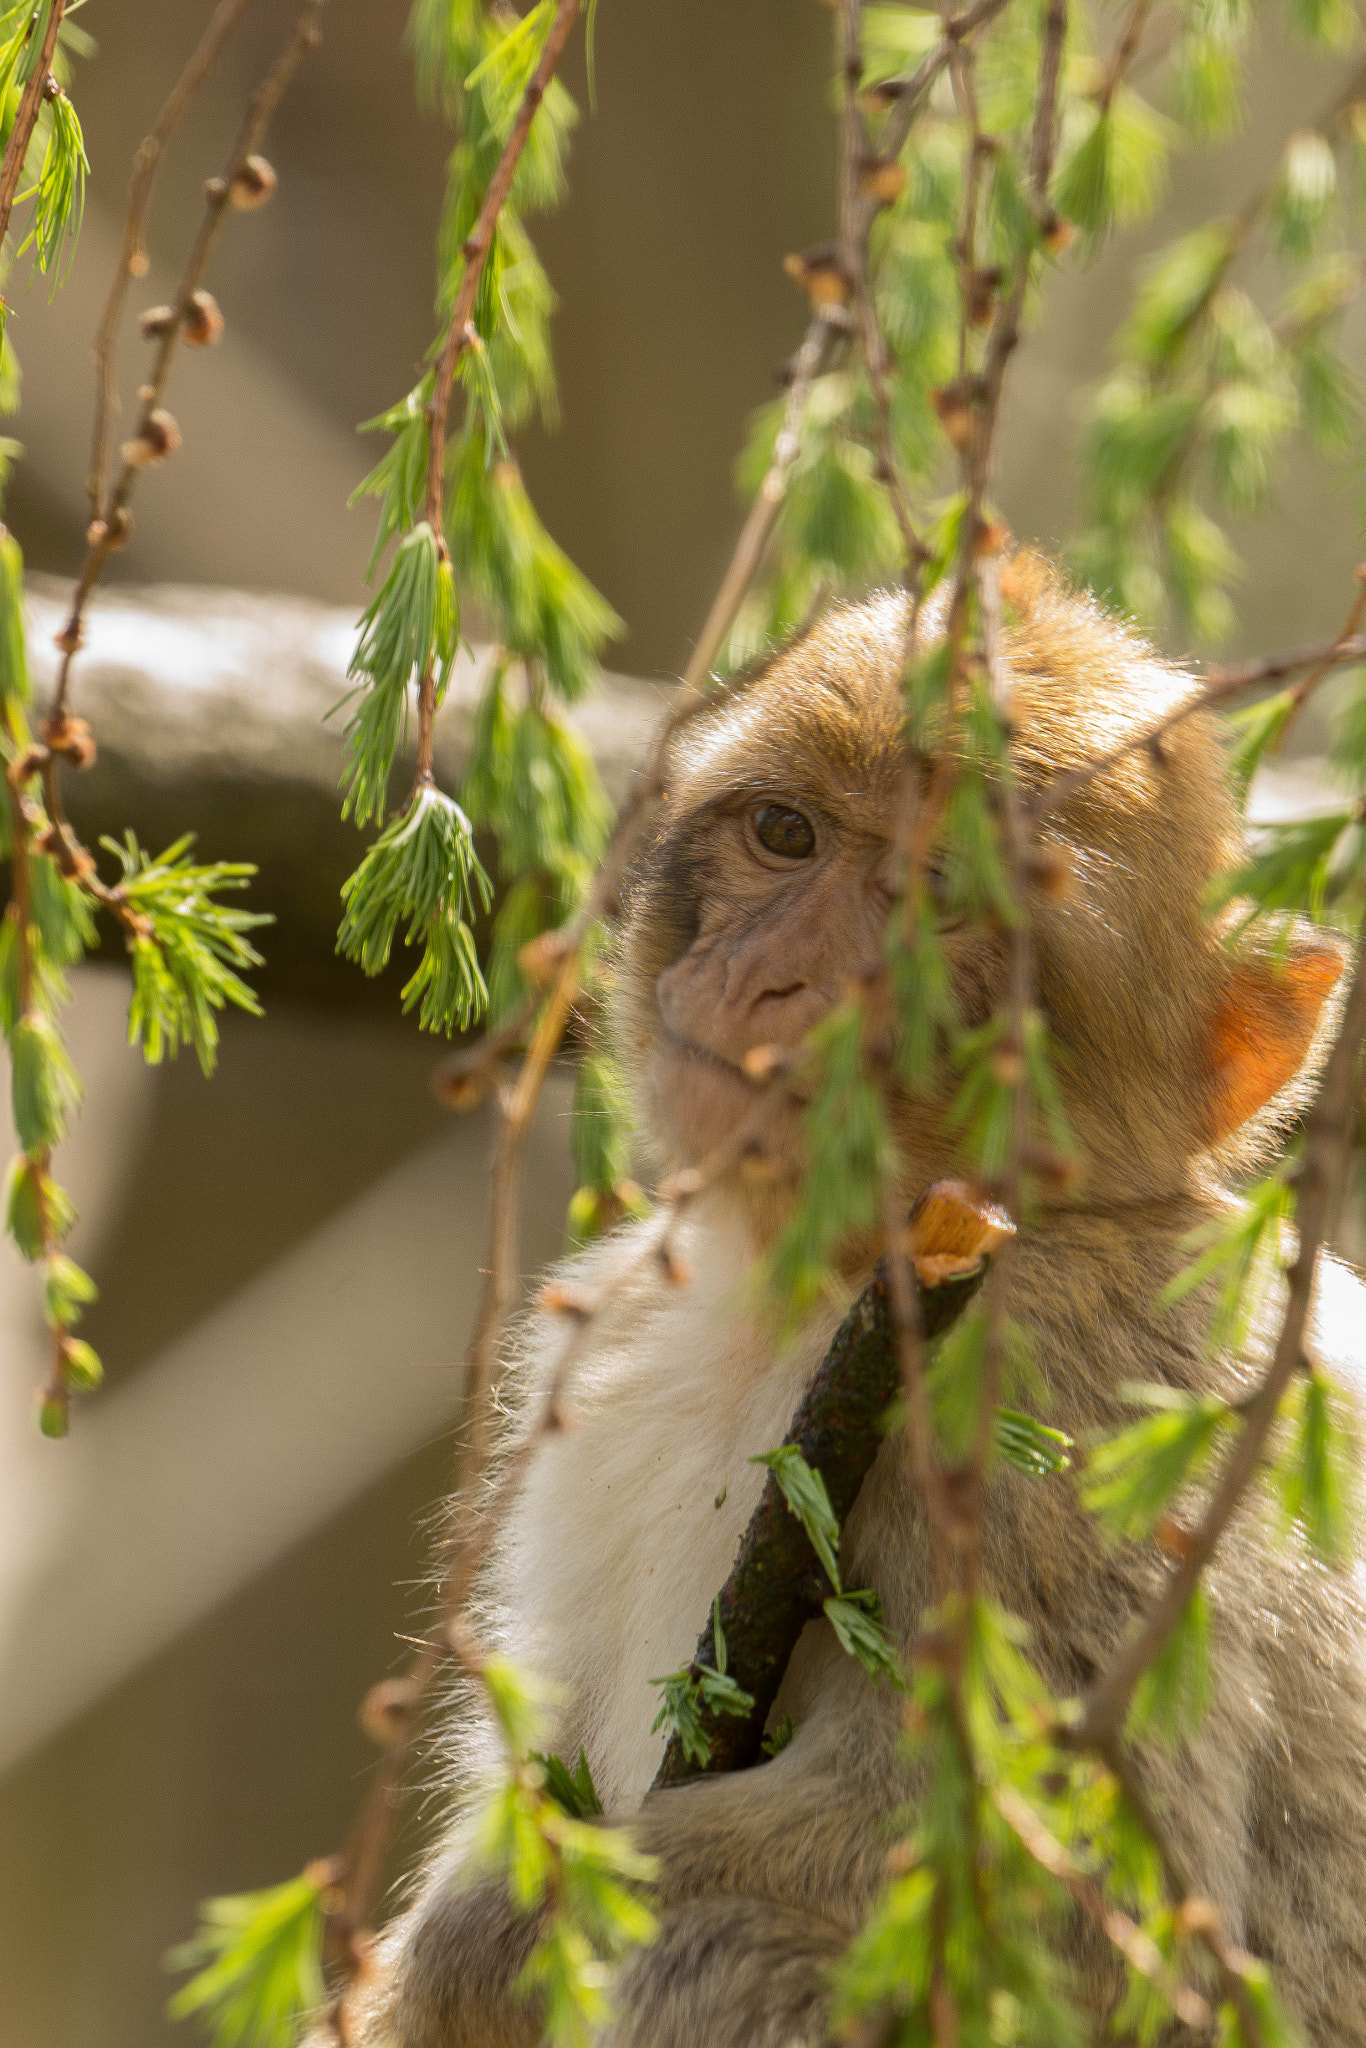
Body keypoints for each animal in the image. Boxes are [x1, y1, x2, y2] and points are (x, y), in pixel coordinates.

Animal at [362, 557, 1366, 2048]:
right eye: (785, 834)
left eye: (937, 902)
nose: (773, 976)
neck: (800, 1286)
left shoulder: (1041, 1420)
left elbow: (1074, 1913)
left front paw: (472, 1948)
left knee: (715, 1947)